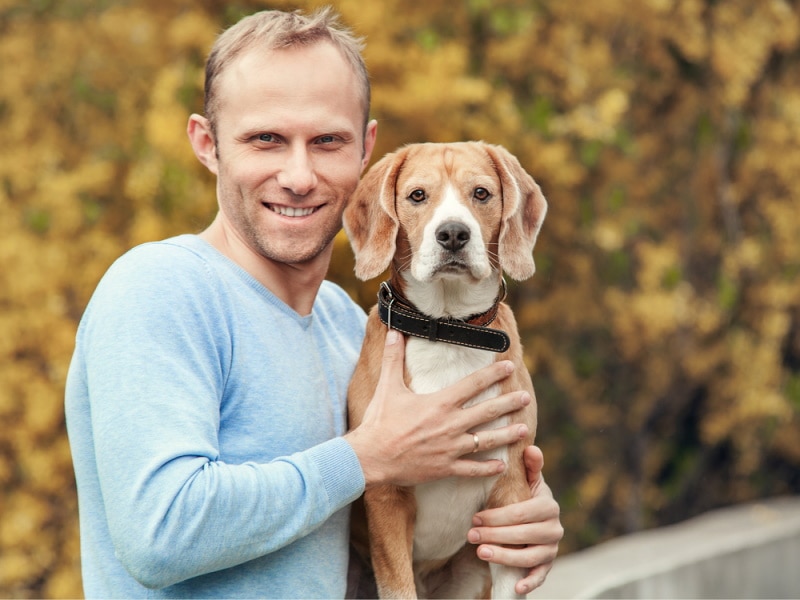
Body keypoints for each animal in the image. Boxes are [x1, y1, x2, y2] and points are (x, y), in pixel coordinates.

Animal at [344, 142, 552, 600]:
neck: (448, 329)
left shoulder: (510, 493)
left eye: (481, 193)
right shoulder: (387, 500)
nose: (454, 233)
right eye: (418, 195)